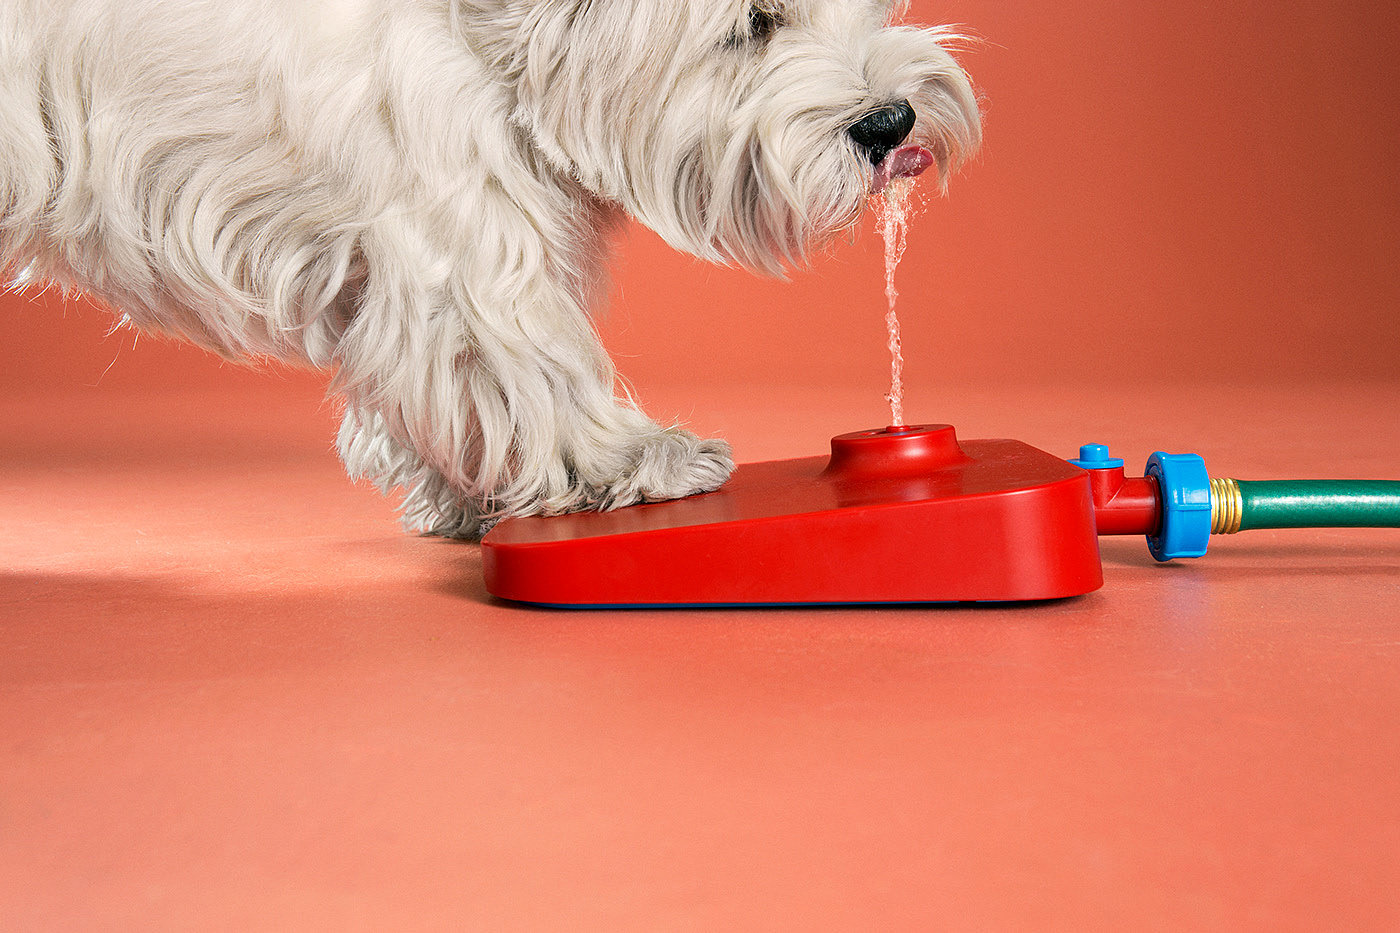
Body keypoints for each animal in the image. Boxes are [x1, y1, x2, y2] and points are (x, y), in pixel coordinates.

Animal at [2, 0, 985, 535]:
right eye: (755, 23)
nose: (892, 121)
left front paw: (461, 495)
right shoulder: (457, 244)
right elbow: (530, 362)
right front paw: (634, 460)